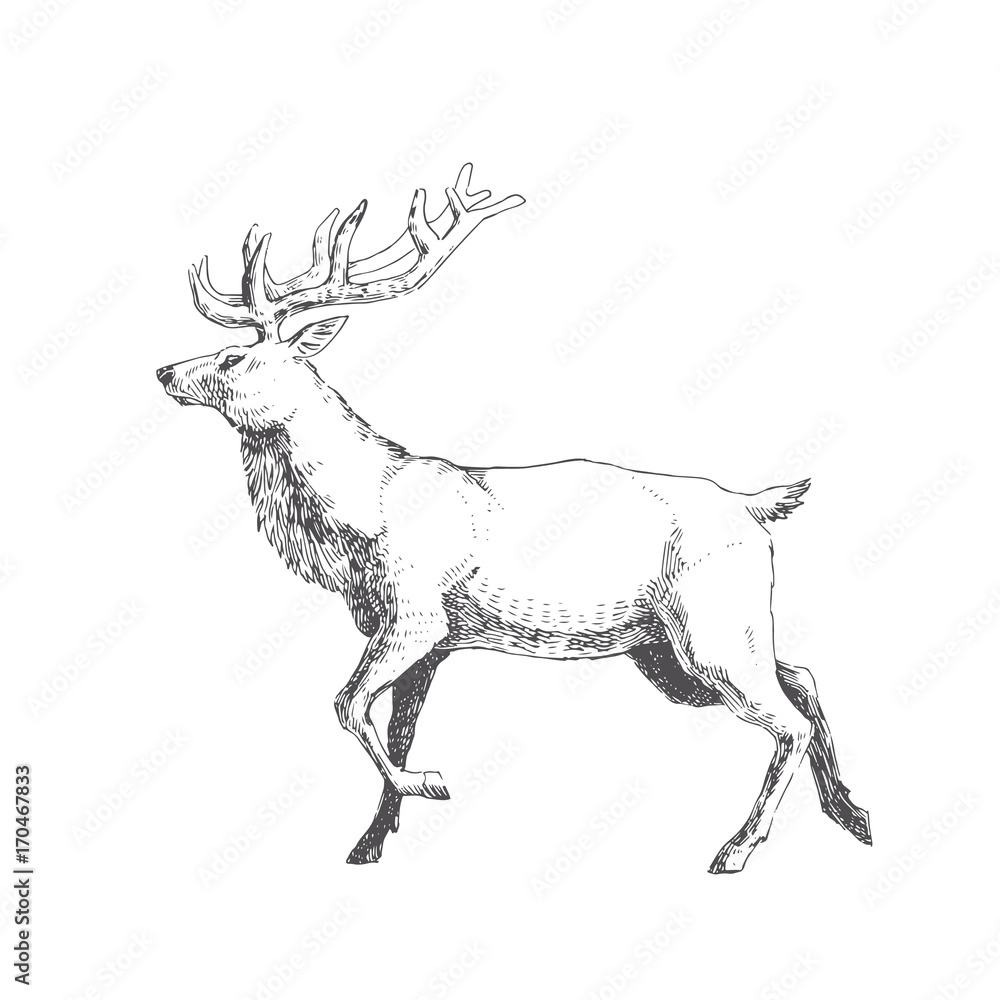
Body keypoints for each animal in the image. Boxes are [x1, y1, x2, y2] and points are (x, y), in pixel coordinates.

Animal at [156, 164, 871, 873]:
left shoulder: (416, 613)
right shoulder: (425, 640)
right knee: (801, 677)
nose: (164, 370)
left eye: (233, 358)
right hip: (675, 648)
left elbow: (346, 705)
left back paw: (738, 847)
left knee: (788, 717)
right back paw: (852, 813)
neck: (358, 518)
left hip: (711, 626)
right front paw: (370, 842)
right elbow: (398, 729)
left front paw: (430, 784)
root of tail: (756, 506)